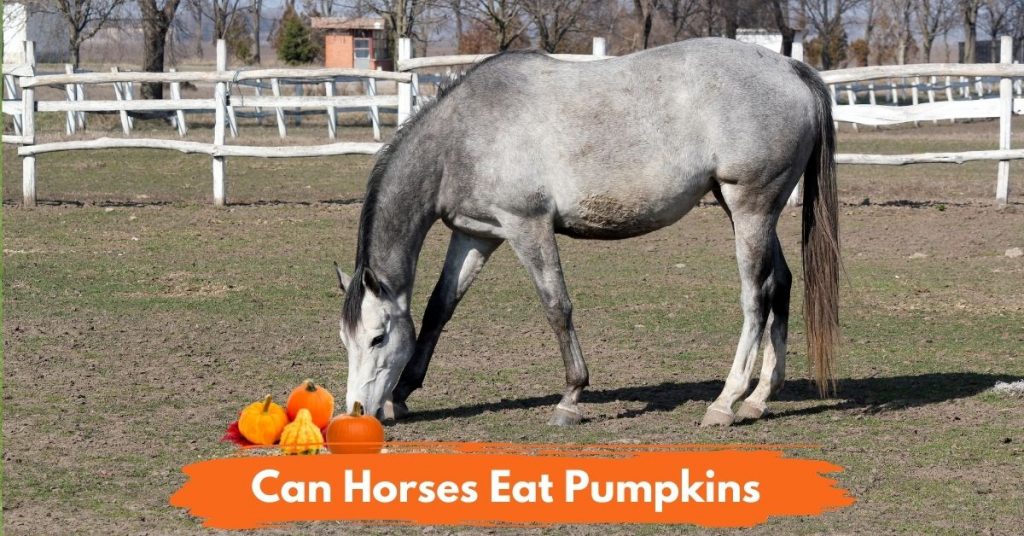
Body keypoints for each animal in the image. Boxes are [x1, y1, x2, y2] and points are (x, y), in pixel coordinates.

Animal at [335, 37, 840, 427]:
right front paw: (403, 393)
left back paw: (725, 402)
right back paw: (758, 399)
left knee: (756, 298)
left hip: (750, 208)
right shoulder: (477, 234)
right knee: (781, 285)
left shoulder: (528, 227)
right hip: (748, 210)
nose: (357, 410)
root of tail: (791, 68)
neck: (466, 134)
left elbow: (556, 307)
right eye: (346, 339)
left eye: (377, 338)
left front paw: (571, 399)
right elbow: (440, 309)